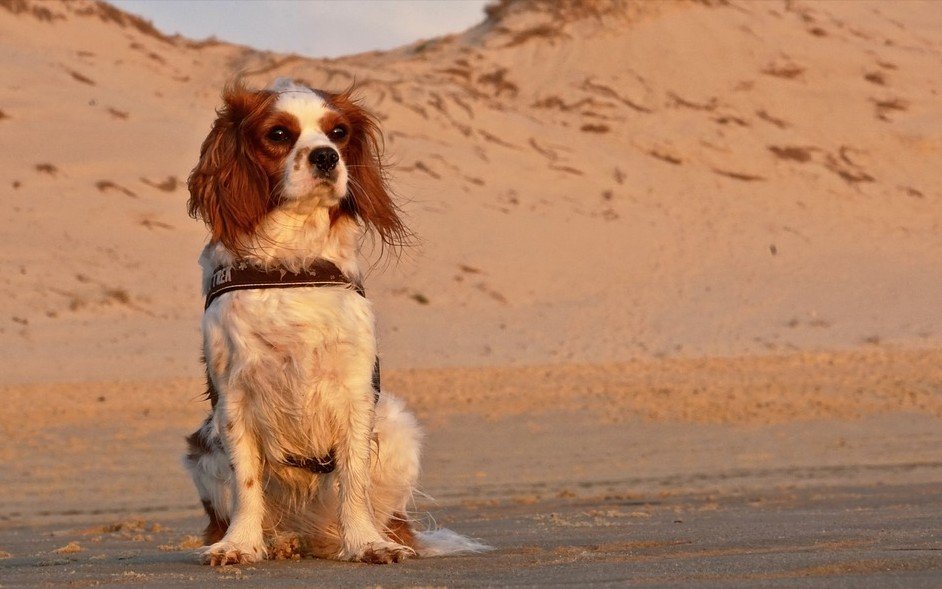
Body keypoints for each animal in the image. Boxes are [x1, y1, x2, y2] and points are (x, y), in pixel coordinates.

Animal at [183, 78, 486, 564]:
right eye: (279, 134)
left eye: (338, 133)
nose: (326, 156)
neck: (293, 263)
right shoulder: (232, 396)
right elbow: (247, 482)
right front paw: (240, 544)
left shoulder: (355, 390)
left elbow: (353, 480)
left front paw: (366, 542)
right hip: (202, 447)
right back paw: (279, 541)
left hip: (397, 425)